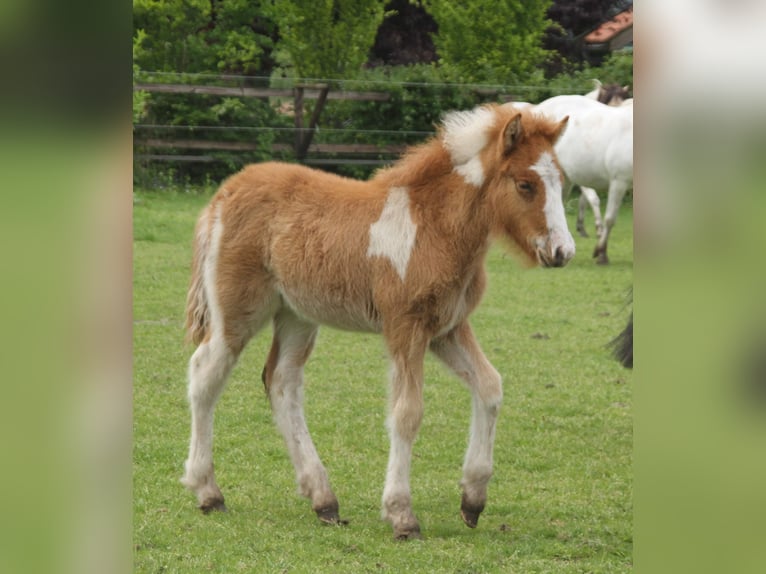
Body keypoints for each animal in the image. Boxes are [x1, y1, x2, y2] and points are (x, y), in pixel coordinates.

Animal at [182, 103, 576, 540]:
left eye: (562, 183)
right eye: (525, 184)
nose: (563, 251)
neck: (434, 226)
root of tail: (225, 193)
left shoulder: (447, 328)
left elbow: (490, 387)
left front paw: (472, 500)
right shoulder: (405, 326)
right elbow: (407, 413)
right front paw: (402, 515)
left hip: (297, 314)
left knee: (282, 383)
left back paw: (323, 499)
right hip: (237, 311)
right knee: (205, 375)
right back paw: (208, 492)